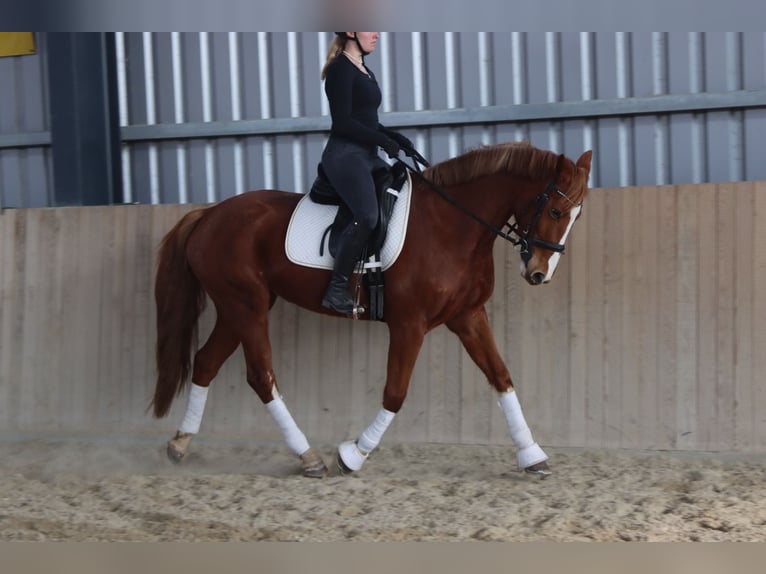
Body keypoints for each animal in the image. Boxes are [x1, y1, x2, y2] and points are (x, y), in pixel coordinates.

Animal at [150, 142, 592, 480]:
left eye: (576, 216)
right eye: (554, 211)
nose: (539, 273)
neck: (452, 226)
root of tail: (208, 214)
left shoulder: (467, 316)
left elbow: (502, 378)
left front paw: (532, 455)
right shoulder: (410, 324)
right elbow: (395, 394)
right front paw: (353, 455)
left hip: (235, 309)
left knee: (206, 362)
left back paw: (180, 444)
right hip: (247, 306)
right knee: (261, 377)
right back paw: (308, 457)